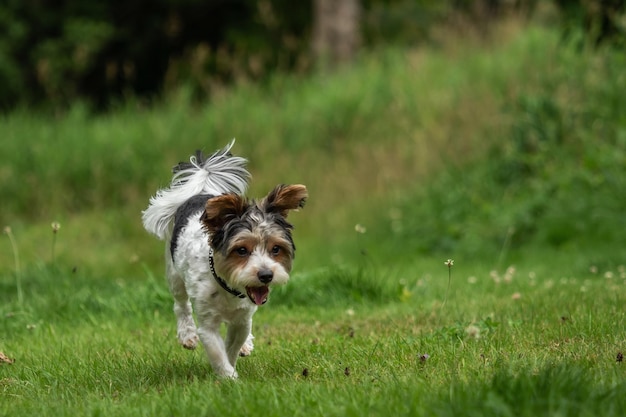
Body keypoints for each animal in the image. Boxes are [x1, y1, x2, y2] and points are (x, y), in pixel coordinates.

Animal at [142, 140, 308, 376]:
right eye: (241, 250)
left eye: (276, 249)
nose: (266, 275)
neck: (228, 286)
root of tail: (200, 193)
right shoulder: (207, 322)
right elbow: (217, 351)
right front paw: (228, 377)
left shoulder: (242, 319)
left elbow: (232, 345)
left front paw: (234, 360)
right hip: (174, 273)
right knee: (181, 304)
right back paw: (187, 334)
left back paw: (246, 345)